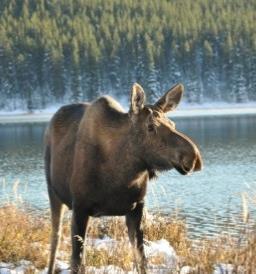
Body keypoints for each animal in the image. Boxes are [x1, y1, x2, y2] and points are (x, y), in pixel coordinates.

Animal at [45, 82, 203, 272]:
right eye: (150, 126)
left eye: (172, 123)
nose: (194, 157)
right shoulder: (80, 208)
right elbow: (76, 261)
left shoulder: (137, 208)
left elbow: (141, 260)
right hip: (53, 193)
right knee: (55, 239)